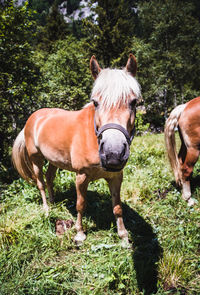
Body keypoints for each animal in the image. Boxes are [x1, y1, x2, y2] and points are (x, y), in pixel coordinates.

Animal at [12, 54, 141, 246]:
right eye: (95, 102)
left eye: (133, 102)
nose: (113, 153)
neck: (93, 137)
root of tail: (33, 118)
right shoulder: (81, 176)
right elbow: (81, 204)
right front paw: (79, 234)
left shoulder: (116, 176)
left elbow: (117, 207)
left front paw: (123, 236)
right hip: (36, 159)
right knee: (40, 182)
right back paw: (46, 208)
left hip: (54, 160)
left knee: (49, 179)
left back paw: (53, 202)